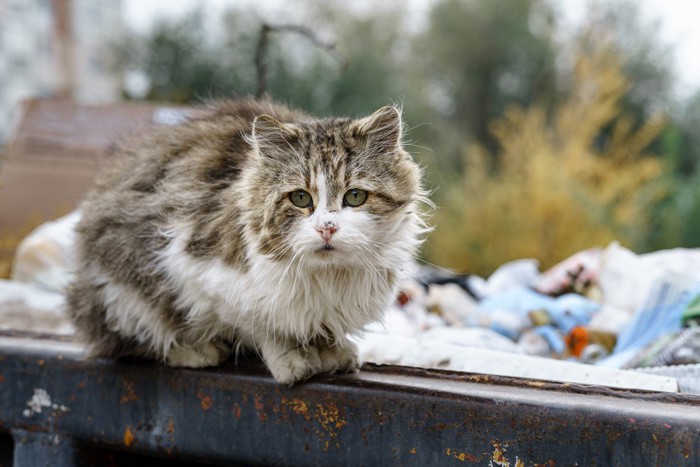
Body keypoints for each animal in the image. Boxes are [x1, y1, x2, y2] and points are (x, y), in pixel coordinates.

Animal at [67, 98, 426, 384]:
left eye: (355, 197)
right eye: (300, 198)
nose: (327, 228)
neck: (328, 277)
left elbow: (320, 327)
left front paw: (331, 351)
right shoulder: (198, 271)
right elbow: (265, 326)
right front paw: (292, 360)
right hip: (123, 288)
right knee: (133, 341)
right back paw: (197, 350)